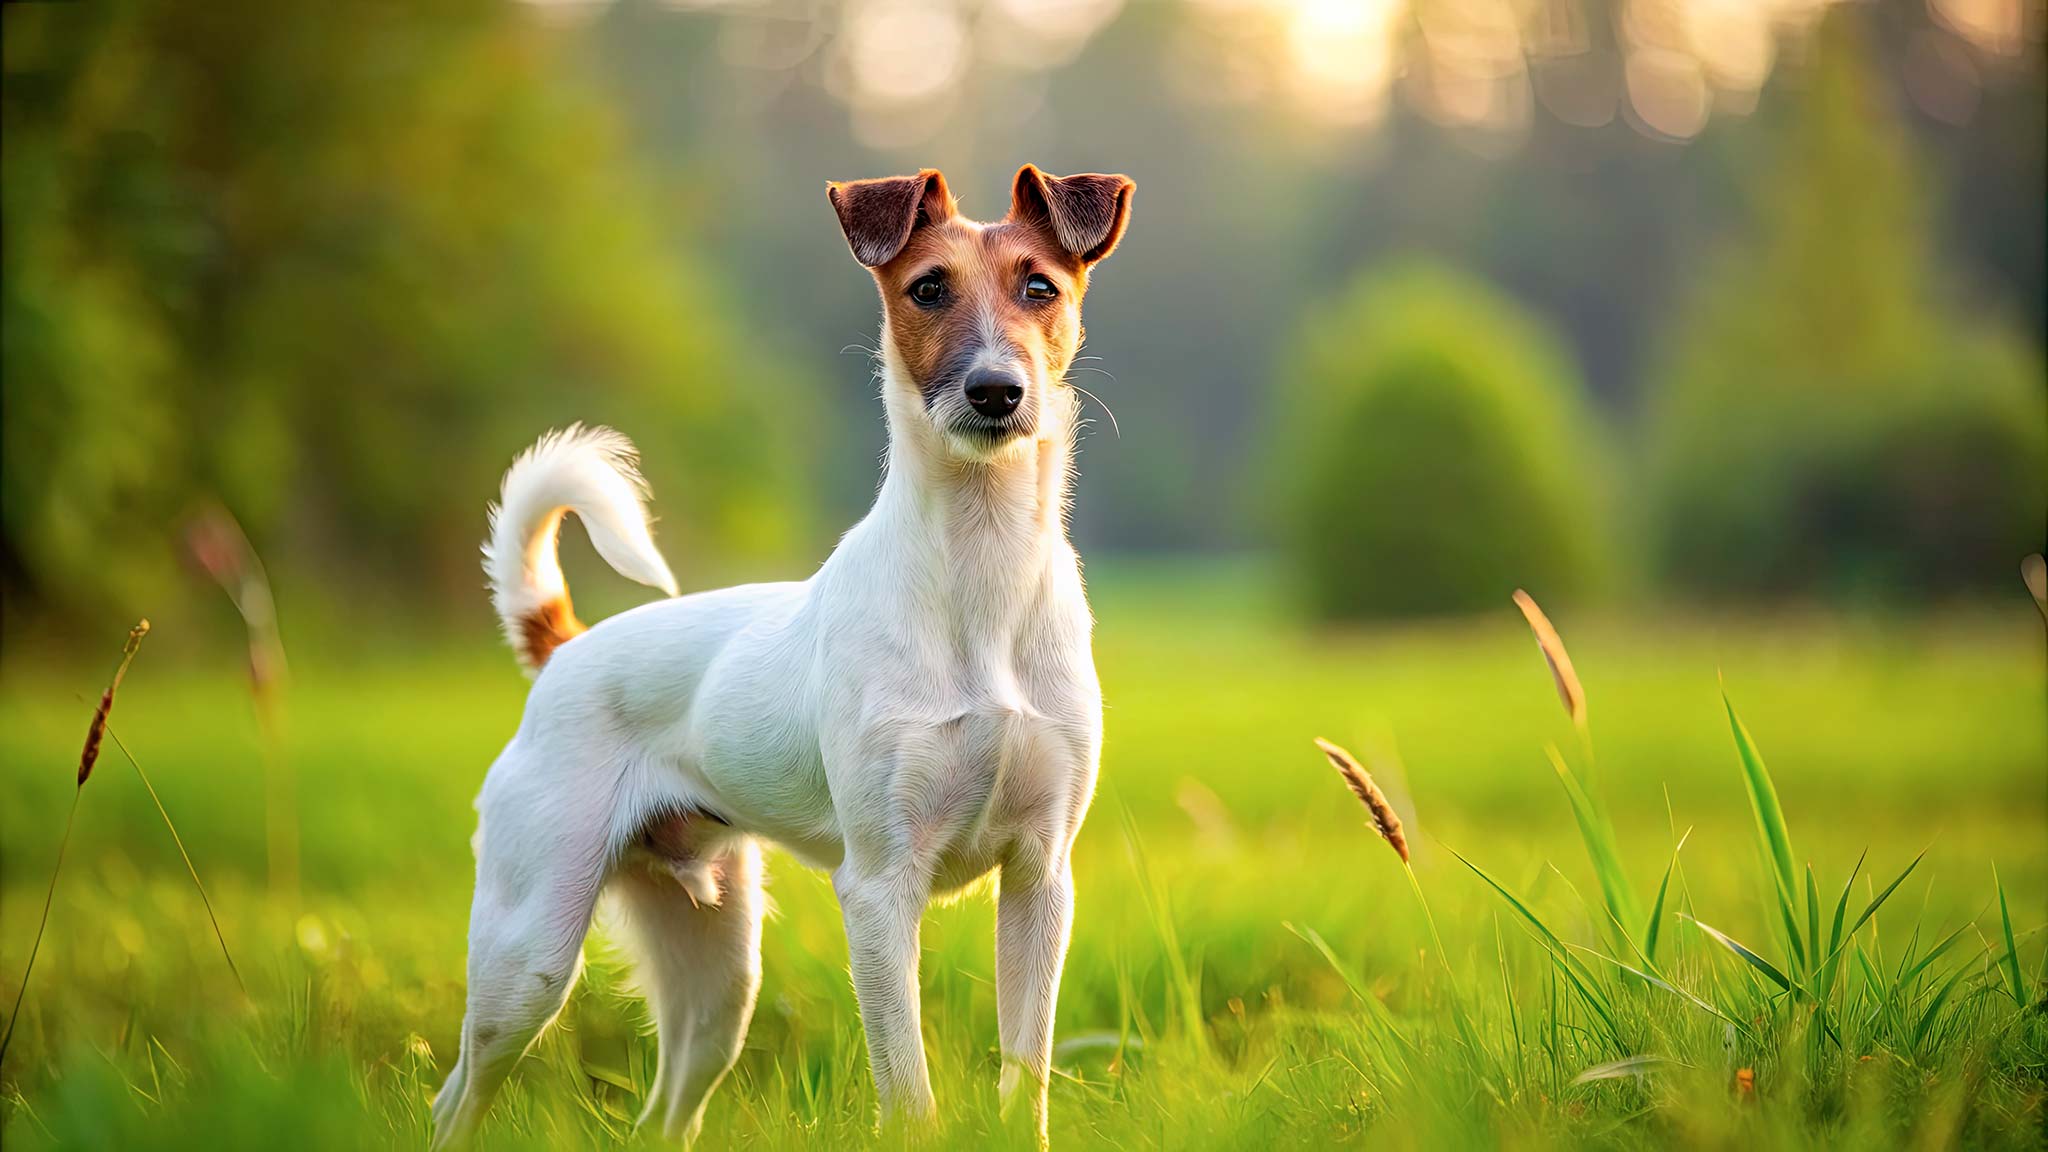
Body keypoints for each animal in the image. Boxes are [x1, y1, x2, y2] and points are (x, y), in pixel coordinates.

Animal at [432, 166, 1138, 1139]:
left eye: (1042, 288)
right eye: (928, 289)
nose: (996, 390)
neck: (980, 579)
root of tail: (564, 651)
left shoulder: (1041, 881)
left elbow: (1022, 1080)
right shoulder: (878, 889)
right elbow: (908, 1093)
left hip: (719, 979)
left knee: (665, 1114)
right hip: (527, 953)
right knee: (454, 1098)